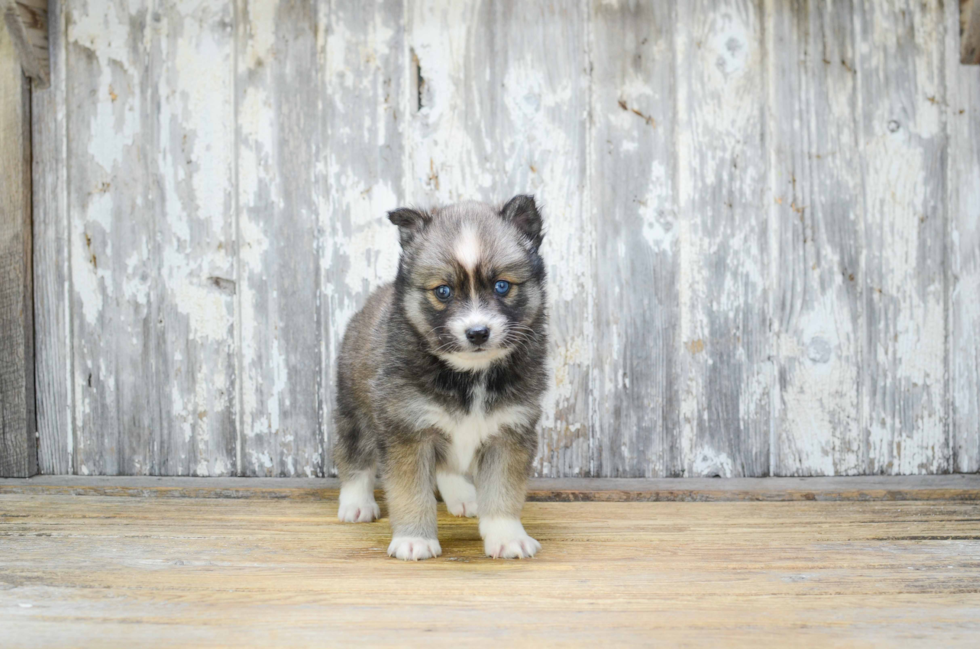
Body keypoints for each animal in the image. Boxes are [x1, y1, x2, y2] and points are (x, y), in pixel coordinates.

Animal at [334, 195, 552, 560]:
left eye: (502, 285)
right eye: (444, 291)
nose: (477, 333)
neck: (469, 374)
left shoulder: (509, 432)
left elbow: (503, 490)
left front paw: (507, 536)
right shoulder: (408, 430)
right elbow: (411, 492)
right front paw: (414, 539)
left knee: (446, 466)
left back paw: (462, 497)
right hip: (355, 411)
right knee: (355, 457)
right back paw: (355, 503)